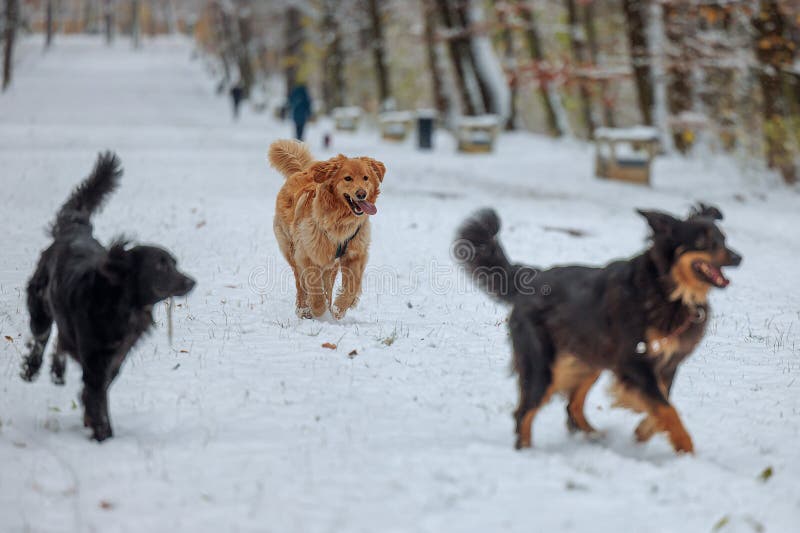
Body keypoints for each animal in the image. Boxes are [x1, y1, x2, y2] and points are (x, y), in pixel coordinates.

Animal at [21, 151, 196, 440]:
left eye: (174, 262)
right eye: (160, 266)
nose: (192, 282)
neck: (121, 305)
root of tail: (74, 229)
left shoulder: (115, 358)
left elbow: (99, 392)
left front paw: (98, 426)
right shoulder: (95, 359)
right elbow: (96, 396)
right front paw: (102, 435)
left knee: (60, 341)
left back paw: (57, 372)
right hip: (39, 306)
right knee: (41, 337)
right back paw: (31, 370)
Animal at [456, 204, 744, 454]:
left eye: (723, 238)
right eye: (703, 242)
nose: (738, 257)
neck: (668, 291)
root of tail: (532, 278)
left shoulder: (668, 362)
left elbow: (663, 402)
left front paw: (643, 430)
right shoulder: (634, 361)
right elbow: (666, 407)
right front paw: (686, 447)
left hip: (589, 357)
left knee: (571, 405)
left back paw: (594, 436)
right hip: (544, 363)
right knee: (525, 411)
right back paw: (526, 450)